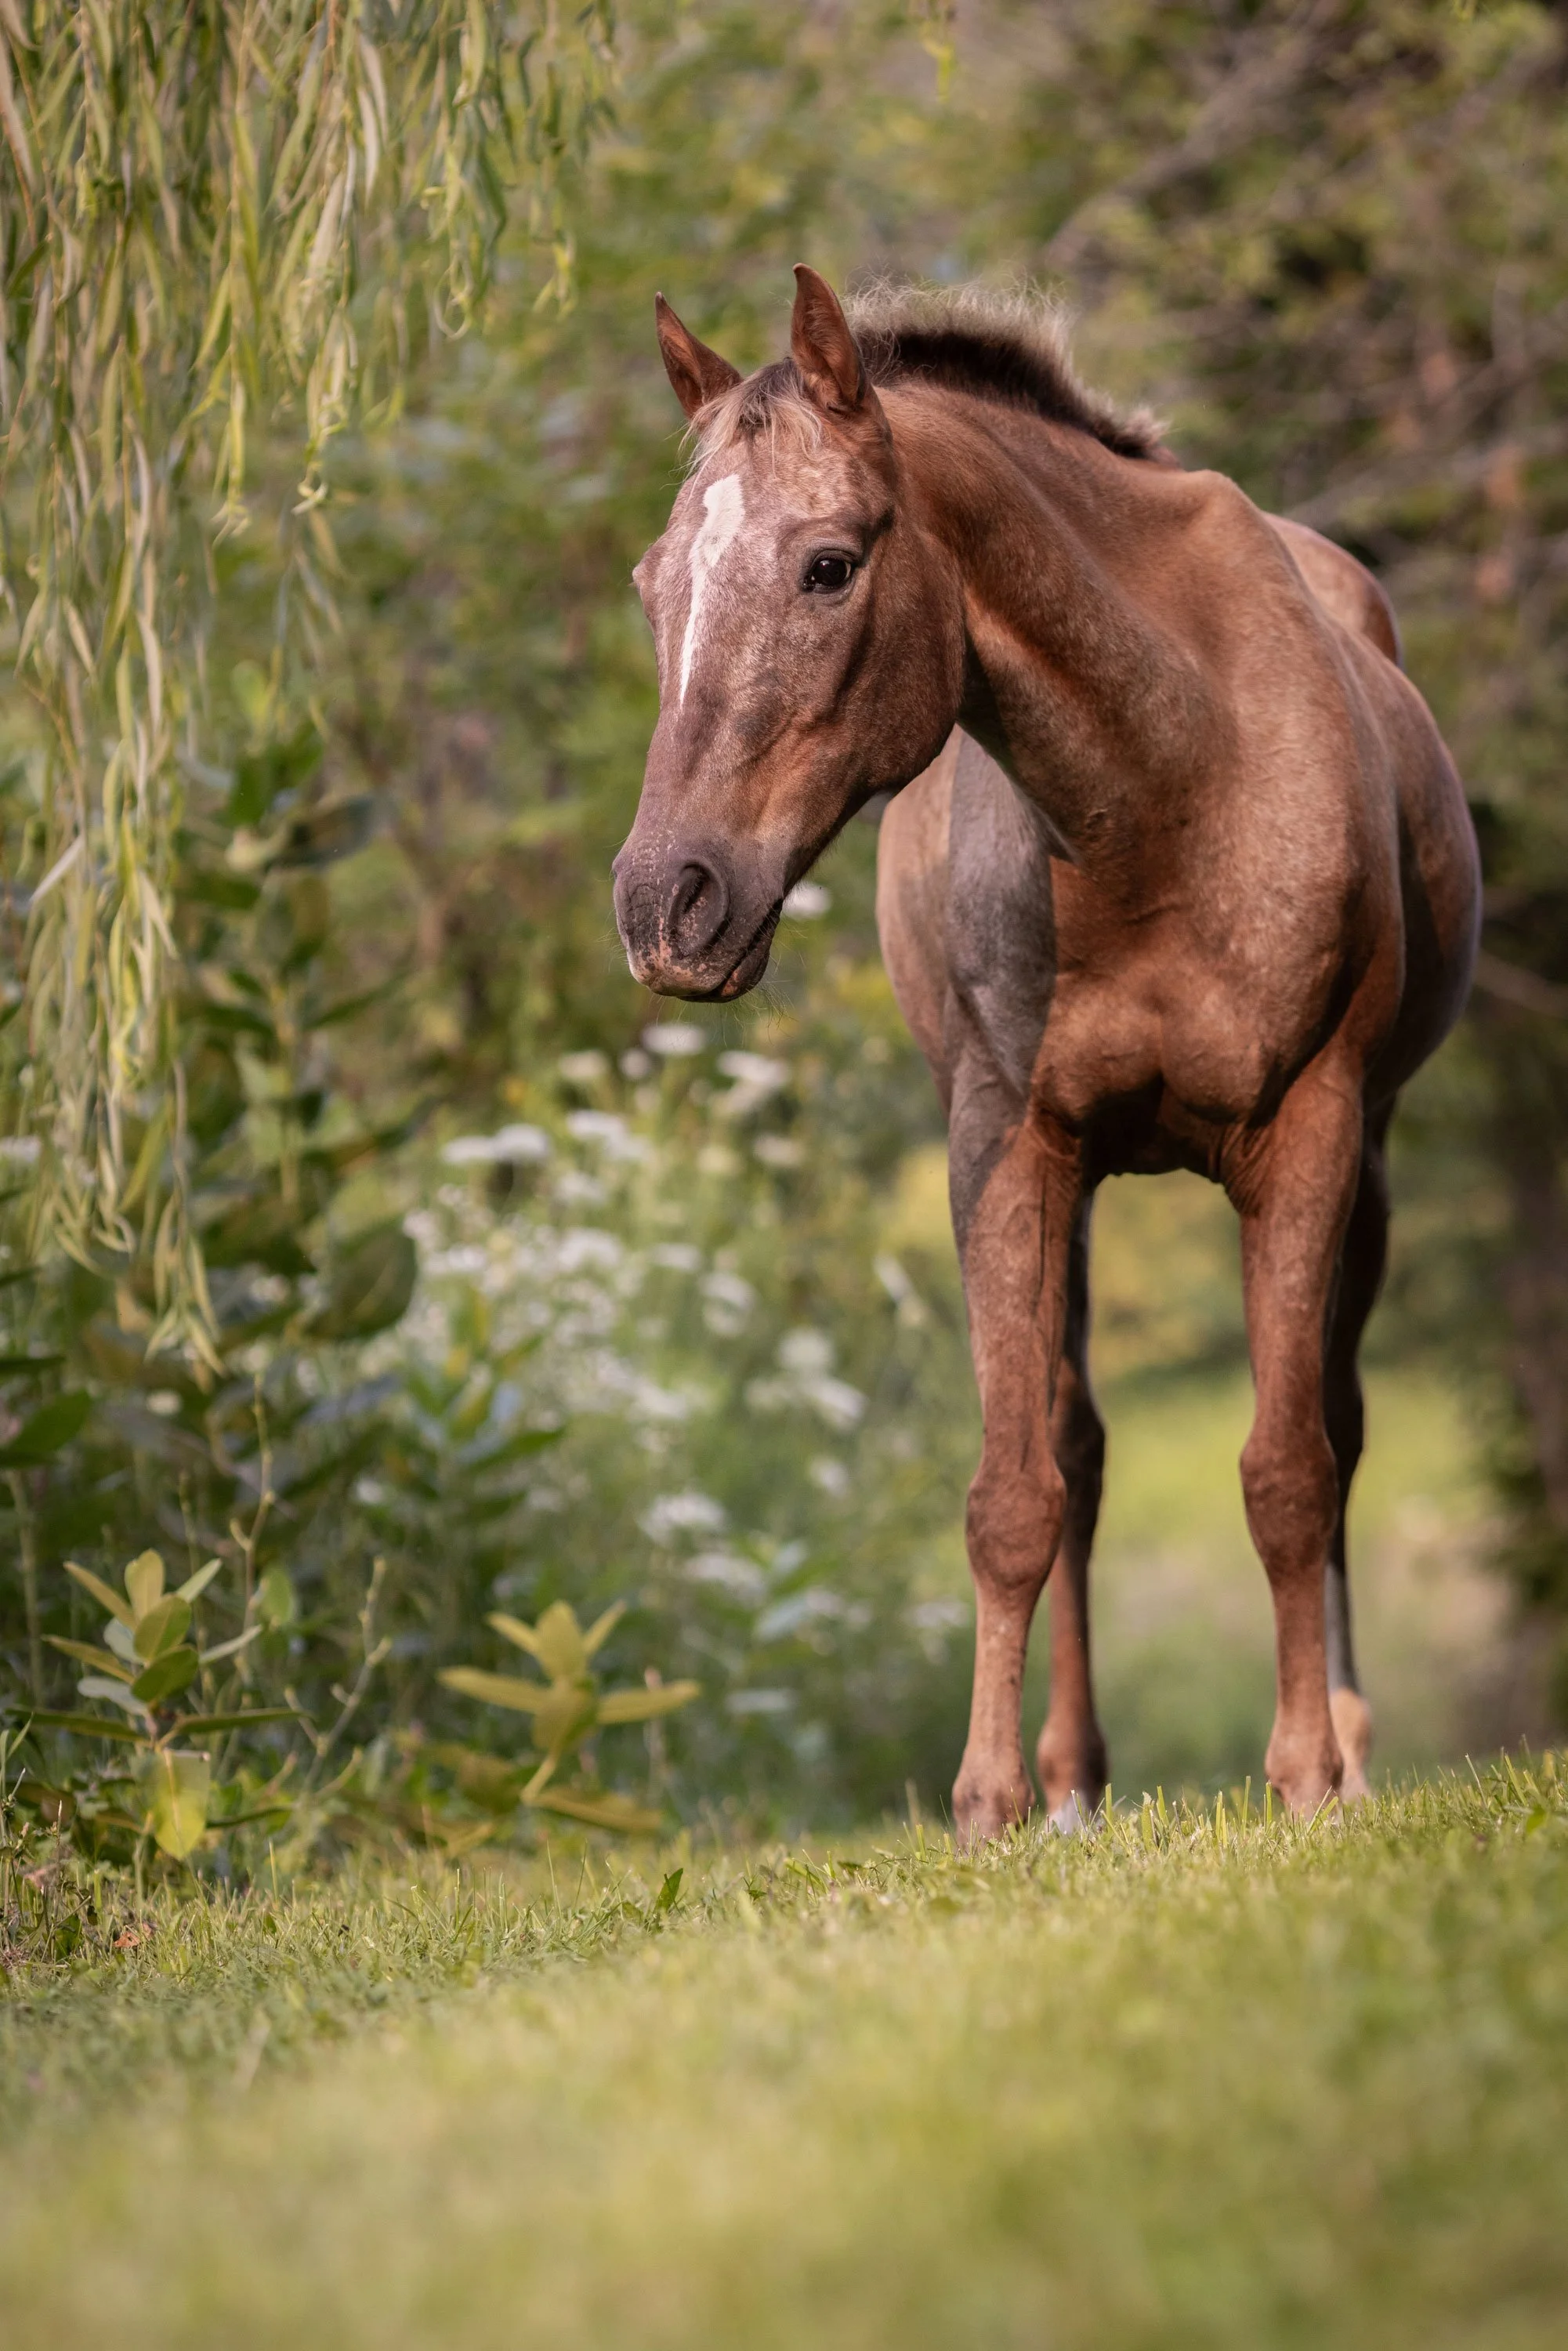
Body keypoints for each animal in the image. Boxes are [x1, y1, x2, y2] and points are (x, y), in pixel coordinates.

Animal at [613, 268, 1479, 1838]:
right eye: (654, 584)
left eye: (827, 566)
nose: (666, 905)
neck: (1166, 784)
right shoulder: (1004, 1145)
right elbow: (1015, 1492)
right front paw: (994, 1801)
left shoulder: (1312, 1134)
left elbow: (1288, 1469)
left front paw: (1303, 1775)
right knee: (1078, 1447)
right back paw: (1077, 1781)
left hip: (1371, 1174)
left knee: (1336, 1422)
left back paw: (1349, 1740)